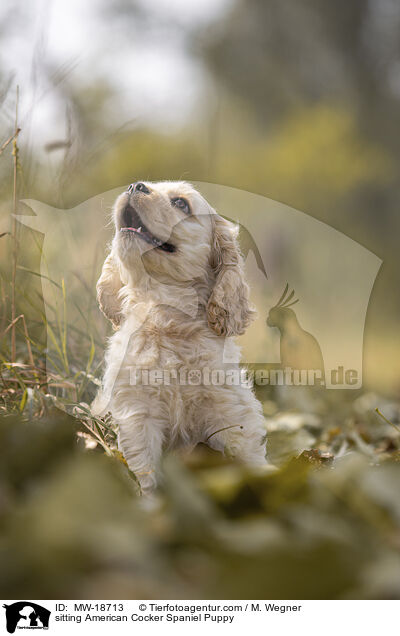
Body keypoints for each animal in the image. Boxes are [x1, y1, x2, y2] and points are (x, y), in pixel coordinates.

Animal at [93, 181, 268, 494]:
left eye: (181, 204)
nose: (134, 185)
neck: (167, 320)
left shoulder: (230, 414)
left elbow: (245, 458)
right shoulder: (138, 415)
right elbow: (145, 472)